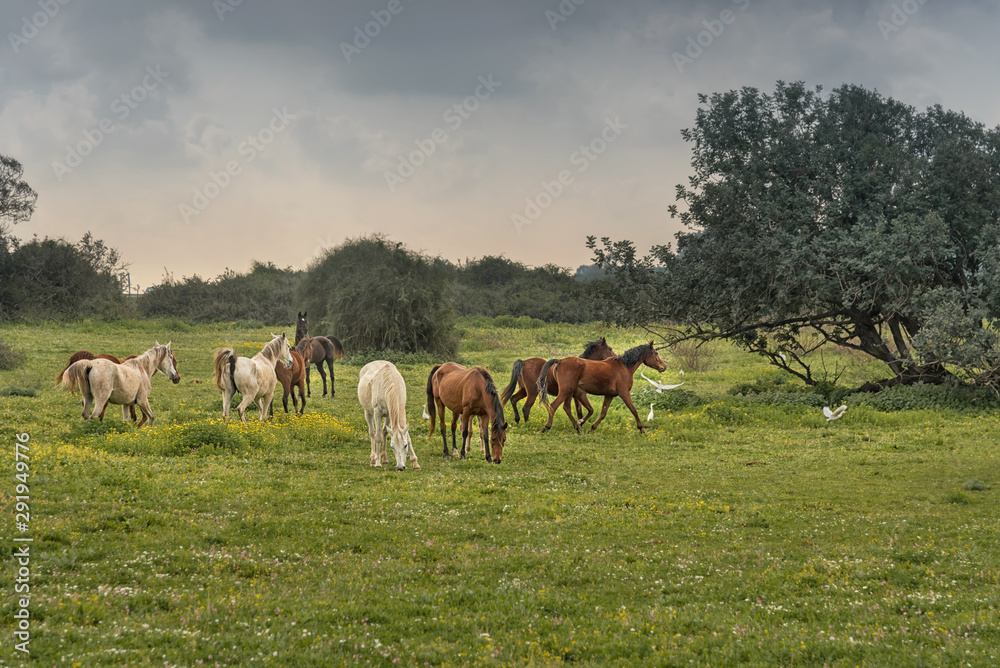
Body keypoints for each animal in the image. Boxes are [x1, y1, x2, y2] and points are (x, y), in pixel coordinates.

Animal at [538, 341, 667, 434]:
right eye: (656, 353)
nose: (664, 367)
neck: (624, 367)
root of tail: (560, 361)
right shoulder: (624, 393)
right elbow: (633, 410)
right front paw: (641, 429)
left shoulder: (609, 395)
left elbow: (603, 413)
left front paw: (592, 428)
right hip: (566, 391)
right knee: (553, 406)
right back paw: (547, 427)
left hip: (569, 393)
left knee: (566, 408)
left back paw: (578, 427)